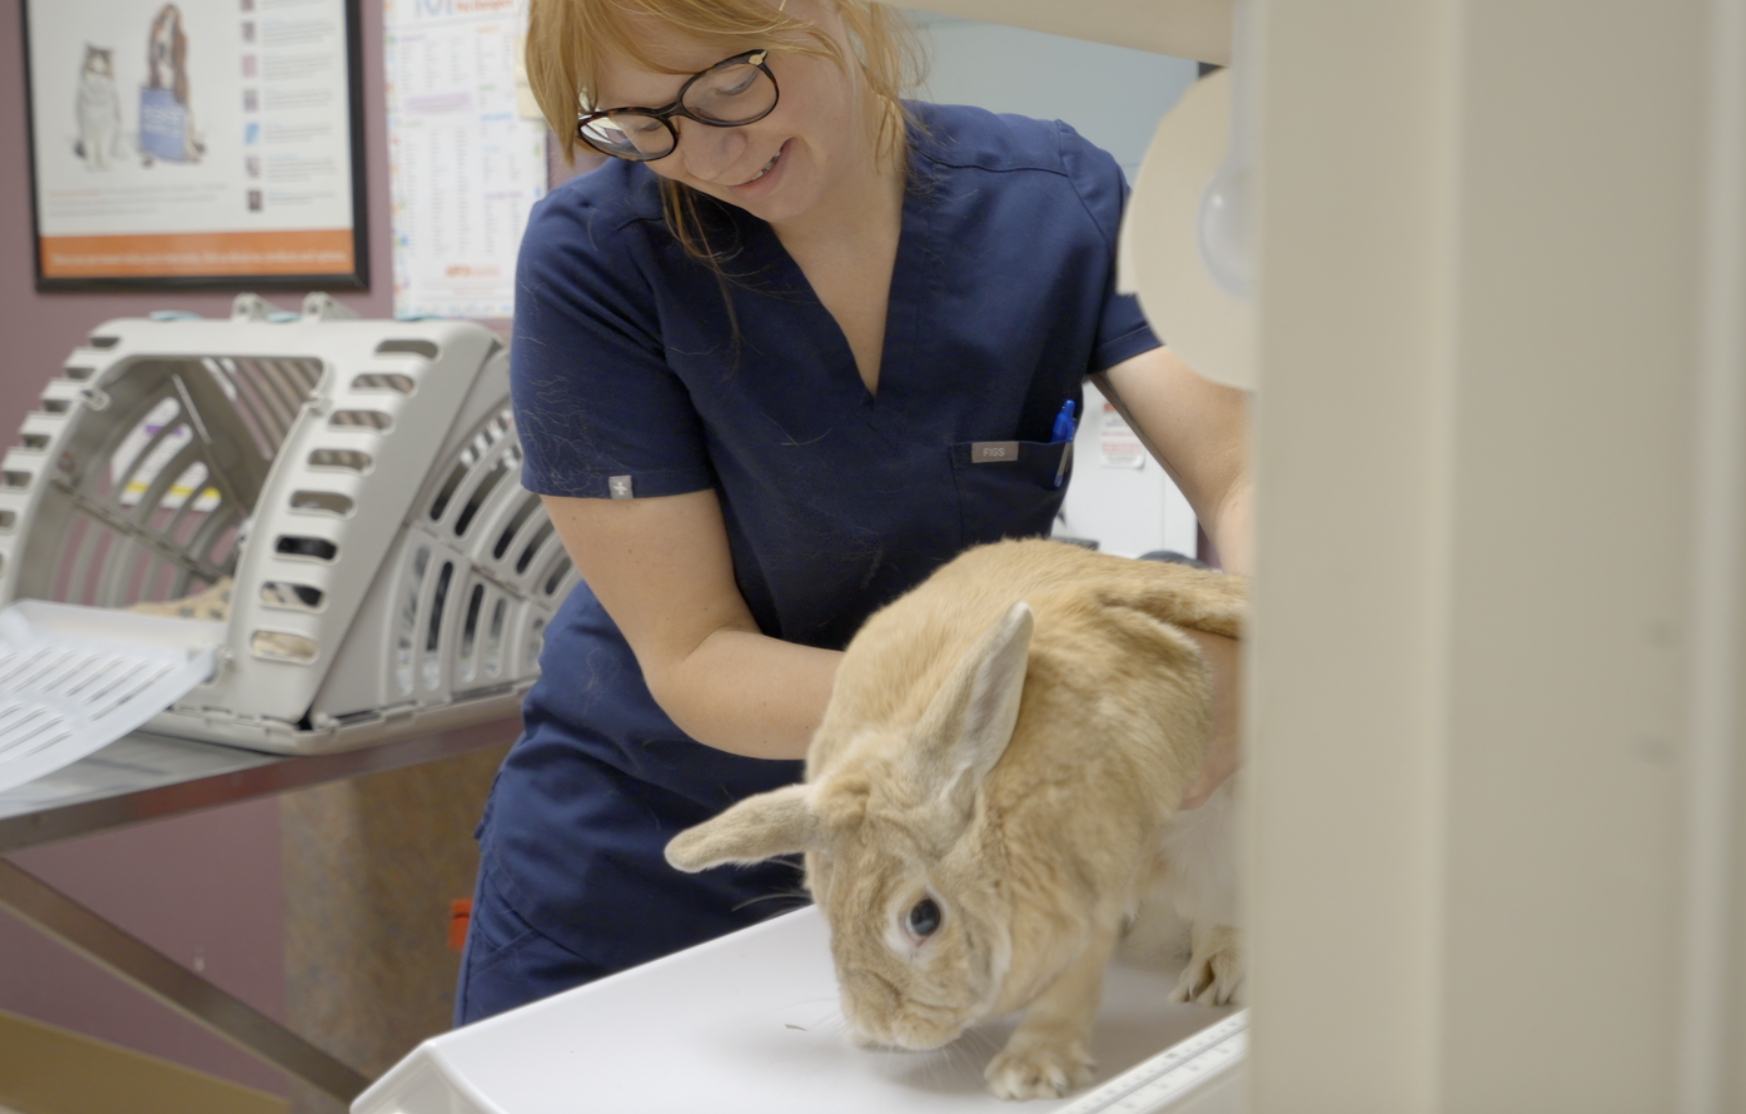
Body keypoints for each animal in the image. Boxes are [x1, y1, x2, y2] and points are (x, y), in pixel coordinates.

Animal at [665, 537, 1246, 1100]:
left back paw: (1218, 971)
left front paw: (1030, 1072)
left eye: (923, 919)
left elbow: (1072, 983)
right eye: (826, 909)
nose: (879, 1028)